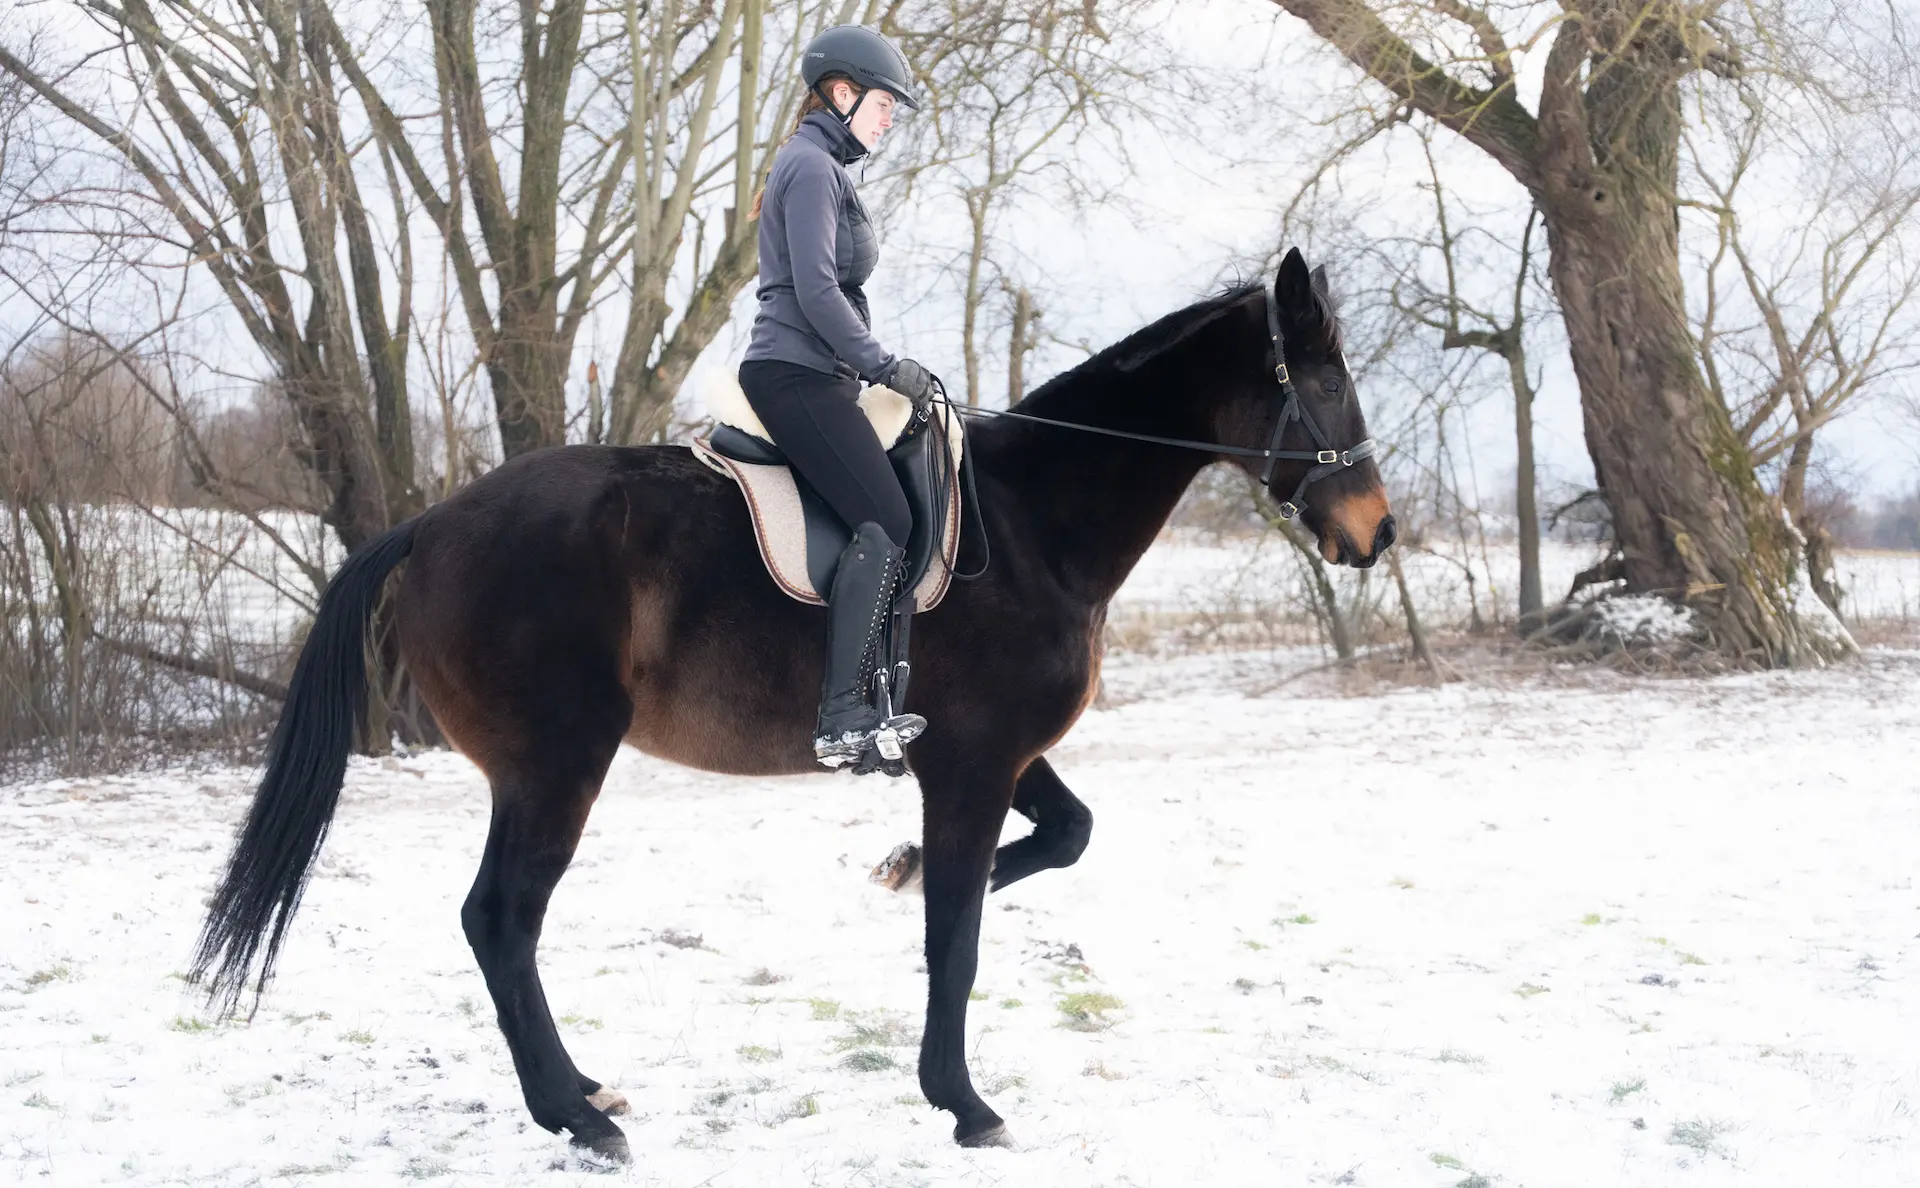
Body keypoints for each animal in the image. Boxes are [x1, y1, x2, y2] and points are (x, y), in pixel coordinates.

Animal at [189, 248, 1395, 1161]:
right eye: (1327, 381)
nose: (1376, 532)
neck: (1033, 523)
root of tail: (431, 525)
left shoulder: (986, 756)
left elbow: (1064, 835)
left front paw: (899, 870)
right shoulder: (971, 765)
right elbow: (957, 936)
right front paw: (964, 1104)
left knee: (507, 928)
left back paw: (584, 1093)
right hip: (554, 770)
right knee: (501, 921)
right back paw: (576, 1117)